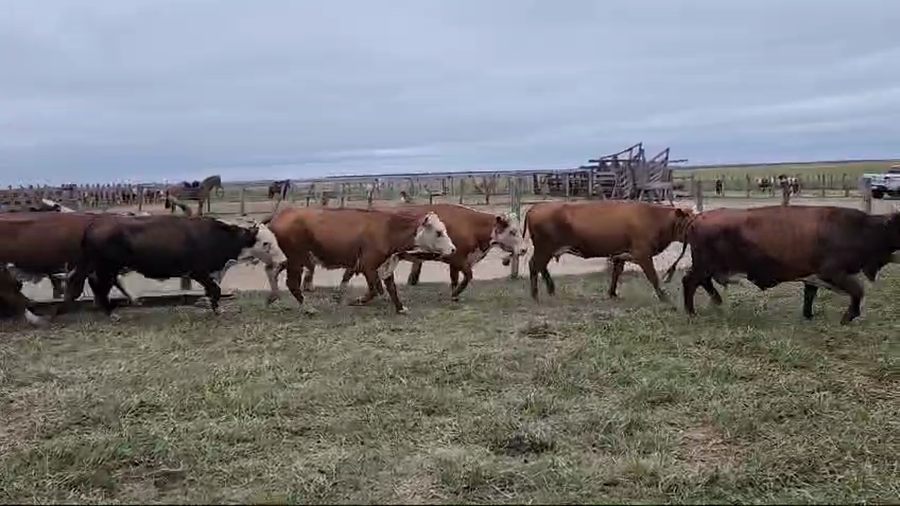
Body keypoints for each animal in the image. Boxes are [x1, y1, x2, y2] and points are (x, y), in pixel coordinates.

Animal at [63, 215, 287, 317]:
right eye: (265, 243)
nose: (284, 260)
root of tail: (95, 224)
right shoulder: (198, 271)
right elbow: (215, 289)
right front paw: (216, 310)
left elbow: (212, 290)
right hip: (106, 269)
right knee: (99, 288)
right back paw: (112, 313)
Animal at [264, 207, 456, 314]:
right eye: (439, 232)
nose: (453, 249)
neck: (388, 230)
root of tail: (281, 214)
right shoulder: (368, 266)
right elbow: (374, 289)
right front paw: (358, 301)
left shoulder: (386, 264)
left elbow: (391, 288)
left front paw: (400, 308)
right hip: (296, 260)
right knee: (291, 283)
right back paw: (307, 308)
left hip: (289, 260)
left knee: (272, 272)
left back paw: (273, 298)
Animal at [299, 204, 527, 301]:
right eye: (512, 231)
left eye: (518, 229)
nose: (524, 249)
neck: (471, 225)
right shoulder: (457, 258)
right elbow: (468, 276)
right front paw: (455, 294)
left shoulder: (454, 261)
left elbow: (456, 279)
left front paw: (454, 294)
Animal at [524, 201, 695, 302]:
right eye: (690, 221)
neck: (654, 218)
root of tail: (536, 207)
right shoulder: (643, 255)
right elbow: (653, 277)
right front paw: (663, 296)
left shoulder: (621, 255)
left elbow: (616, 273)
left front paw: (612, 293)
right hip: (544, 248)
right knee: (534, 265)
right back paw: (534, 295)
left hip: (546, 249)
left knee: (540, 266)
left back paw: (550, 290)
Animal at [675, 205, 900, 324]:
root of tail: (699, 216)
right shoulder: (833, 272)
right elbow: (858, 290)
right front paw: (848, 317)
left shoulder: (812, 275)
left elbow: (810, 295)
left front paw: (808, 316)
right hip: (704, 265)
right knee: (690, 281)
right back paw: (692, 312)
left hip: (707, 266)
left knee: (703, 282)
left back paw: (717, 302)